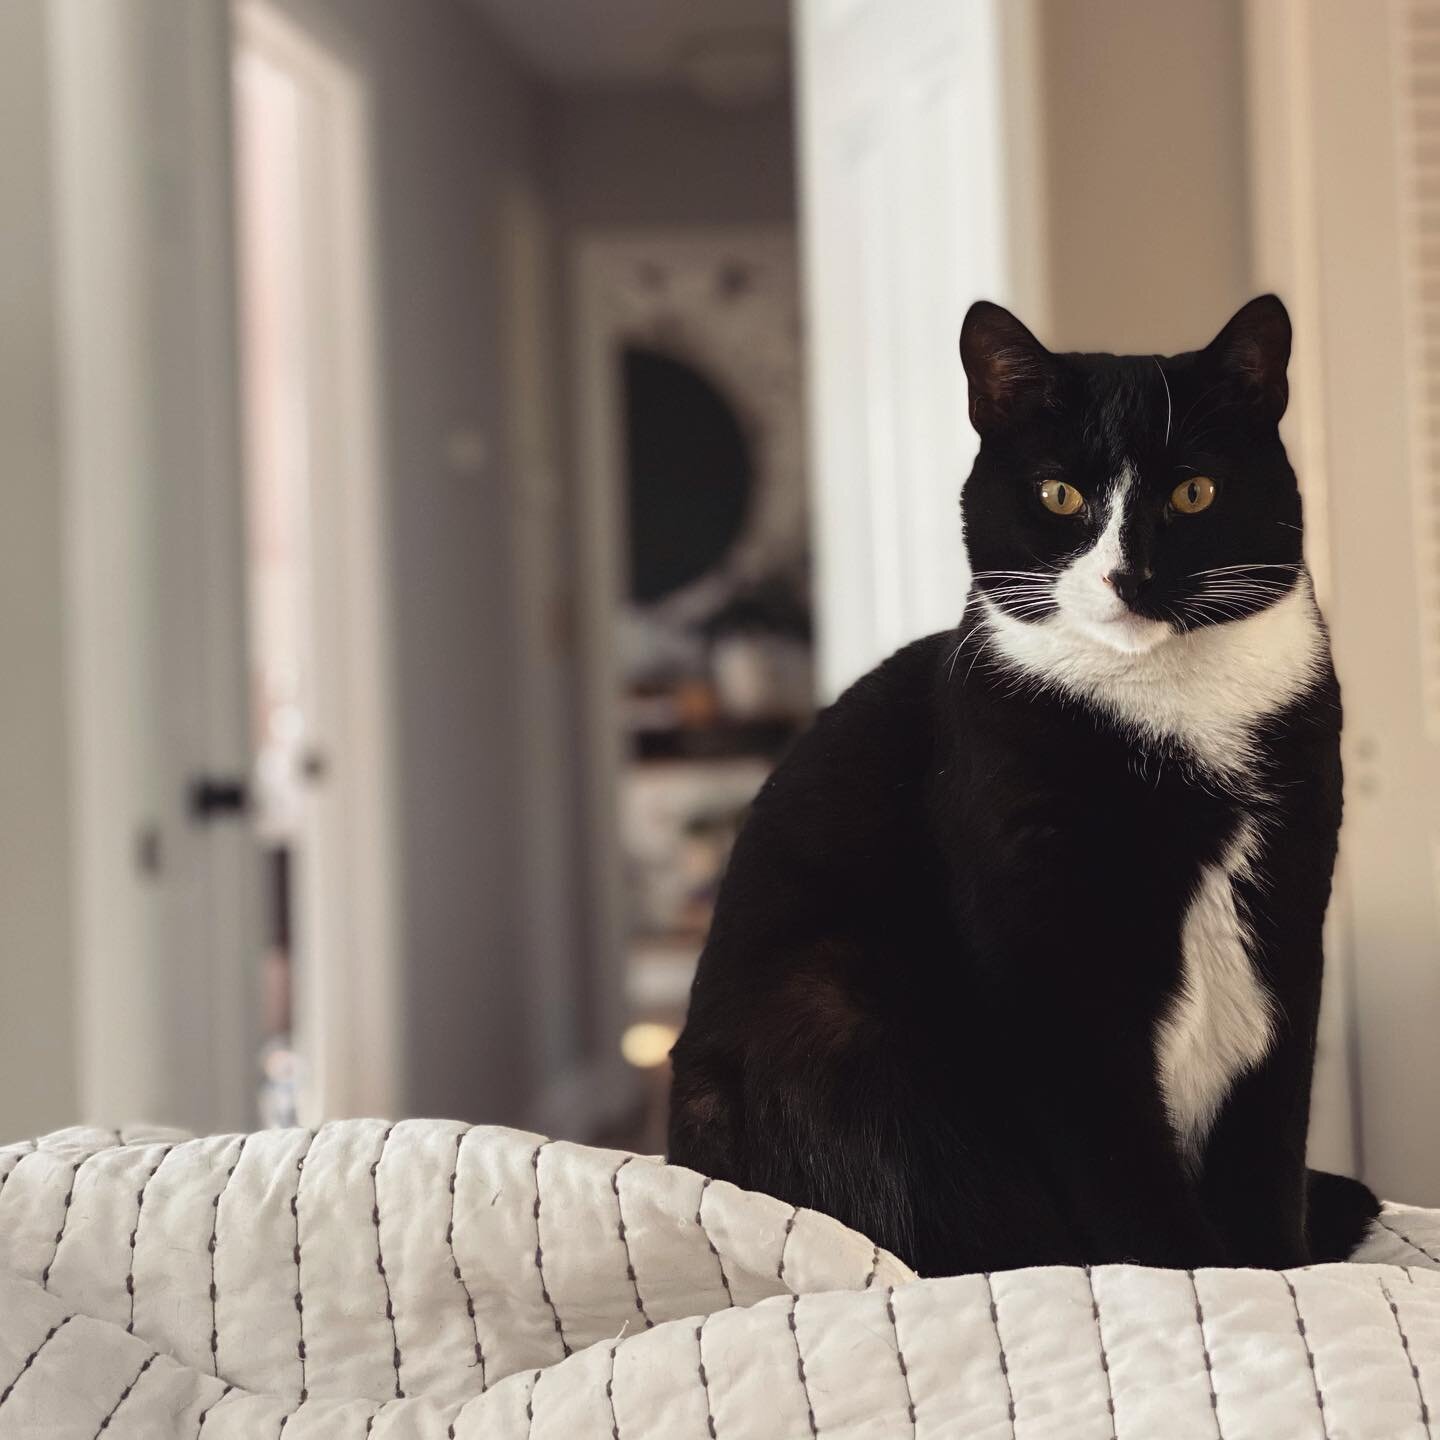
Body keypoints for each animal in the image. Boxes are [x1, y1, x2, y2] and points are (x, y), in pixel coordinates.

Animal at [668, 292, 1376, 1272]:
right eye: (1059, 495)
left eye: (1193, 491)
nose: (1126, 575)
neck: (1173, 714)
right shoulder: (1046, 951)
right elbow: (1116, 1158)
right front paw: (1201, 1274)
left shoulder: (1288, 909)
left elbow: (1270, 1133)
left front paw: (1278, 1270)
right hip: (841, 1017)